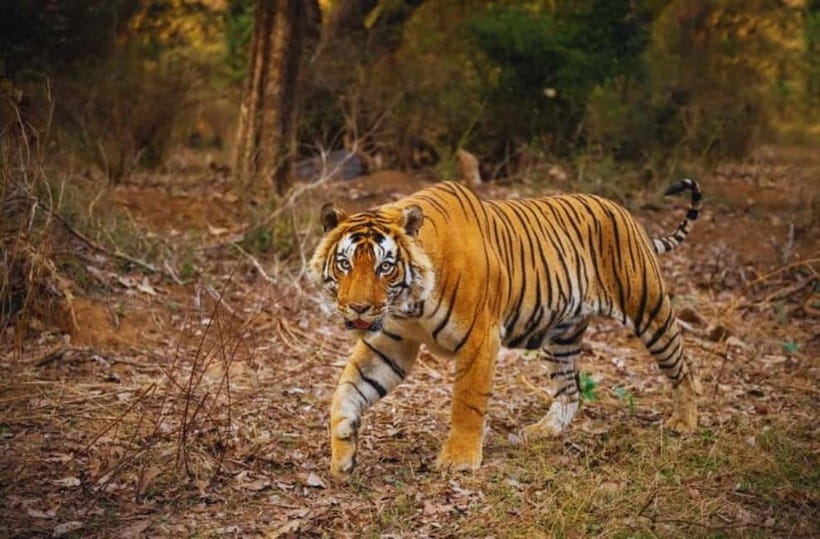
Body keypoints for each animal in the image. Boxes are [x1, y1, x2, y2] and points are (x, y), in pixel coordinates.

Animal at [309, 179, 702, 479]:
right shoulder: (390, 342)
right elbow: (348, 390)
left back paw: (685, 422)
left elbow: (466, 402)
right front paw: (343, 450)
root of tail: (624, 212)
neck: (411, 305)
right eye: (345, 264)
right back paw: (544, 431)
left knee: (682, 366)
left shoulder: (480, 339)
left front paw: (459, 460)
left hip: (647, 307)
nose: (359, 307)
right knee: (570, 389)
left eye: (385, 267)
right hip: (562, 335)